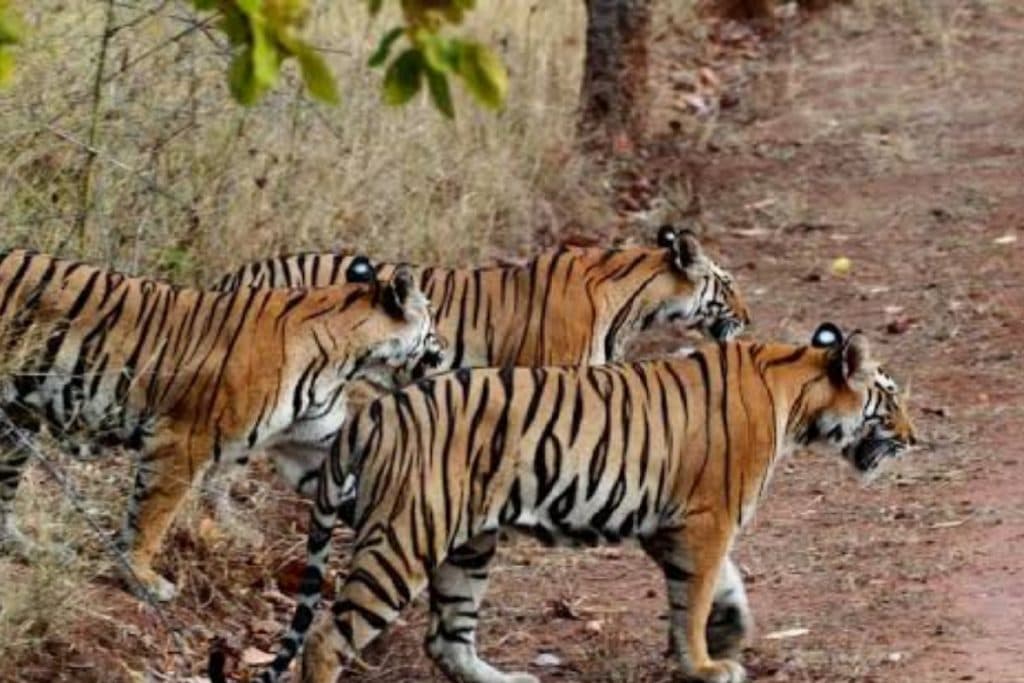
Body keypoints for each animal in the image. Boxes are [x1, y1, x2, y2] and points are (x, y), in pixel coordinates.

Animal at [0, 249, 441, 601]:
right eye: (433, 325)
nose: (444, 355)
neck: (345, 360)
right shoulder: (181, 441)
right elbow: (152, 516)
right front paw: (143, 578)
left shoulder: (312, 450)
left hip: (14, 426)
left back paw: (28, 548)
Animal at [209, 322, 916, 683]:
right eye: (890, 399)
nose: (915, 437)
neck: (796, 395)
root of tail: (375, 413)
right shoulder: (708, 519)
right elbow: (695, 595)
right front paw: (706, 663)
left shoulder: (671, 523)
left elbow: (719, 586)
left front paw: (729, 632)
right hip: (405, 540)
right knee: (329, 640)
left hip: (468, 544)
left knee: (447, 640)